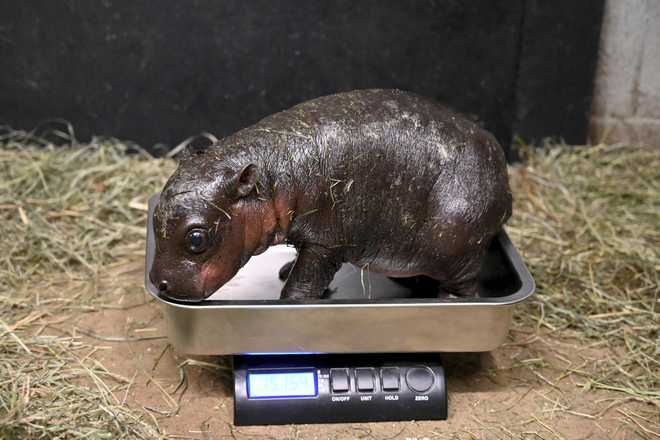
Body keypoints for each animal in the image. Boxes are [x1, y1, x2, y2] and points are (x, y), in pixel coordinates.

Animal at [148, 89, 510, 302]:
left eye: (196, 239)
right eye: (153, 219)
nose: (157, 284)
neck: (272, 173)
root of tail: (504, 179)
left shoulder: (325, 242)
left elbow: (306, 280)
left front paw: (291, 299)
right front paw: (286, 269)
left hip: (457, 246)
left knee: (466, 286)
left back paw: (448, 301)